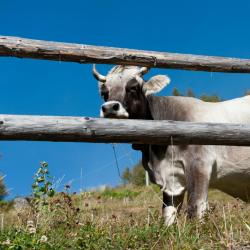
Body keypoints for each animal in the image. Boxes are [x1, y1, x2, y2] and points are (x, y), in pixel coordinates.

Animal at [92, 63, 250, 226]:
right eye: (104, 92)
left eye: (133, 87)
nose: (110, 107)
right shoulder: (171, 180)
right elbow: (168, 216)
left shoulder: (200, 165)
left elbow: (195, 208)